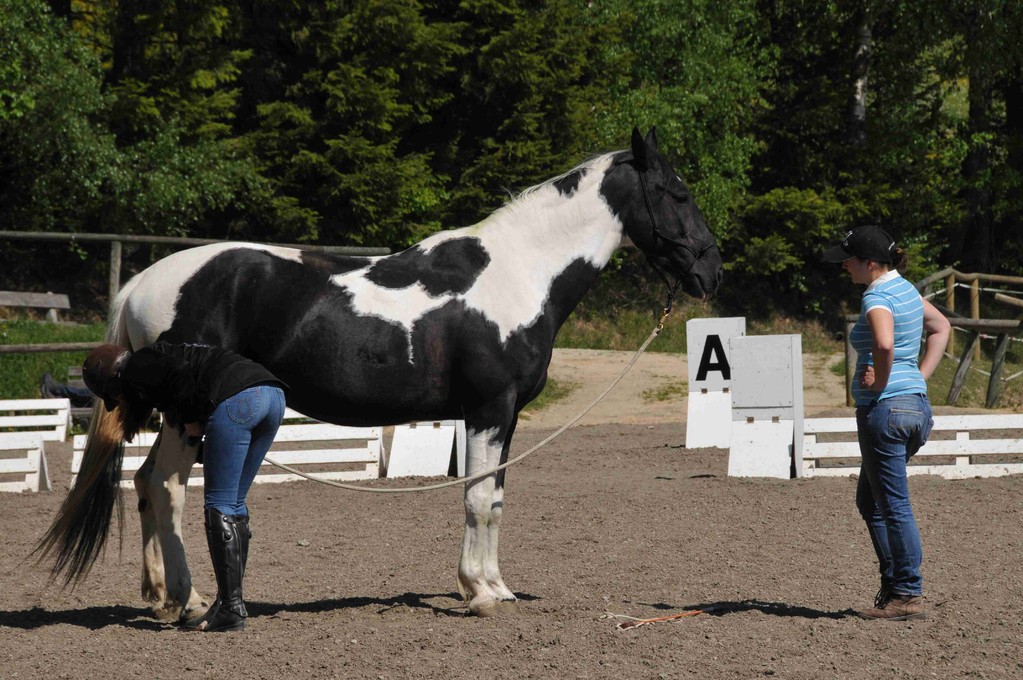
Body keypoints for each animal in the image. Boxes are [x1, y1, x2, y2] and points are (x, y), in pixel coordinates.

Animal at [39, 127, 724, 621]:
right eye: (679, 194)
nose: (711, 271)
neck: (518, 271)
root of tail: (141, 284)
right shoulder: (489, 410)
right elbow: (477, 498)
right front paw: (477, 592)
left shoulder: (507, 417)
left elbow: (497, 498)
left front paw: (498, 587)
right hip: (188, 414)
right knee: (168, 489)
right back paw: (190, 600)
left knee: (145, 485)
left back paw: (162, 596)